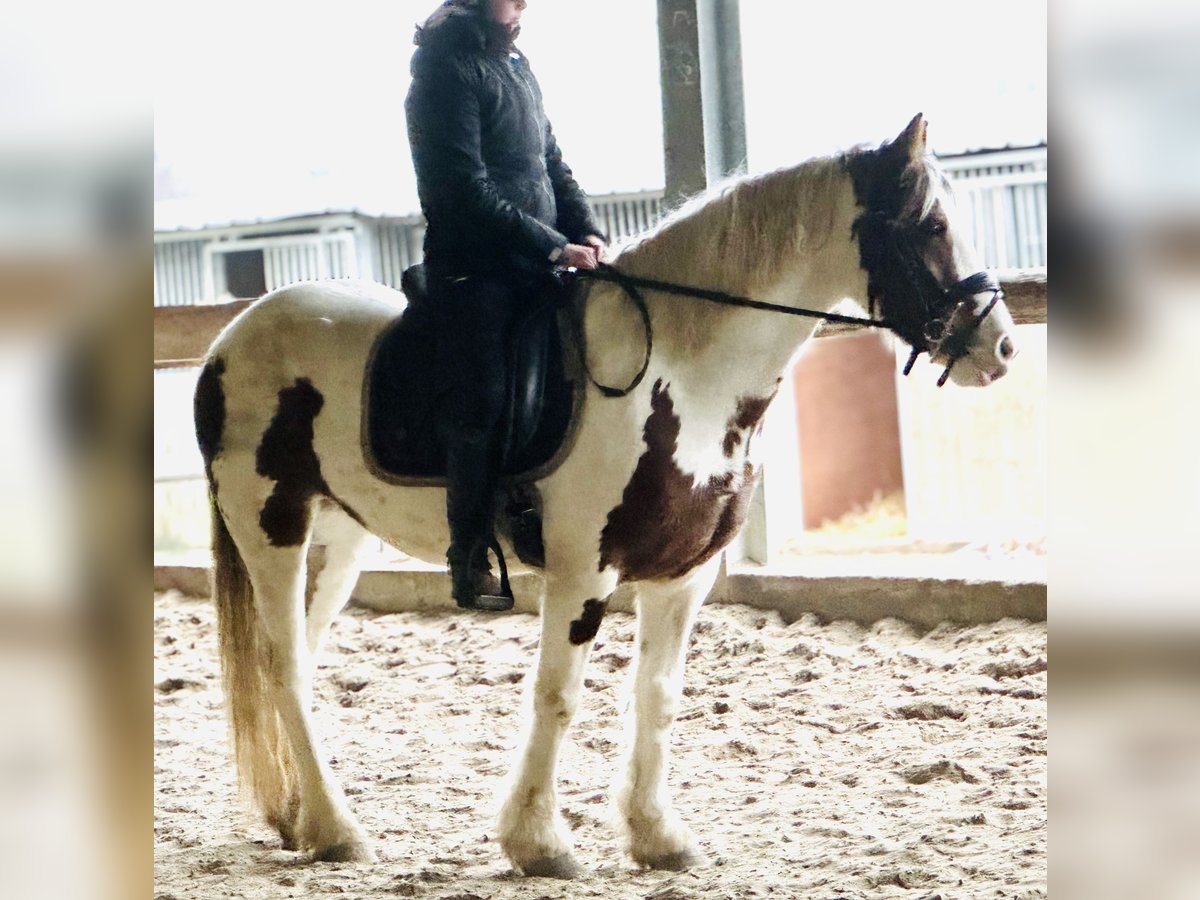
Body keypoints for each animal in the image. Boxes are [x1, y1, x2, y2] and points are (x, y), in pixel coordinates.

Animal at [199, 116, 1022, 878]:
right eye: (933, 225)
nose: (1002, 349)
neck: (682, 377)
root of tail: (229, 340)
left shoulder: (684, 577)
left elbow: (657, 696)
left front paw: (658, 837)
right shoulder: (582, 573)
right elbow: (559, 698)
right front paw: (539, 843)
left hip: (337, 544)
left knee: (297, 660)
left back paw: (301, 819)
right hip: (271, 525)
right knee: (285, 666)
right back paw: (337, 830)